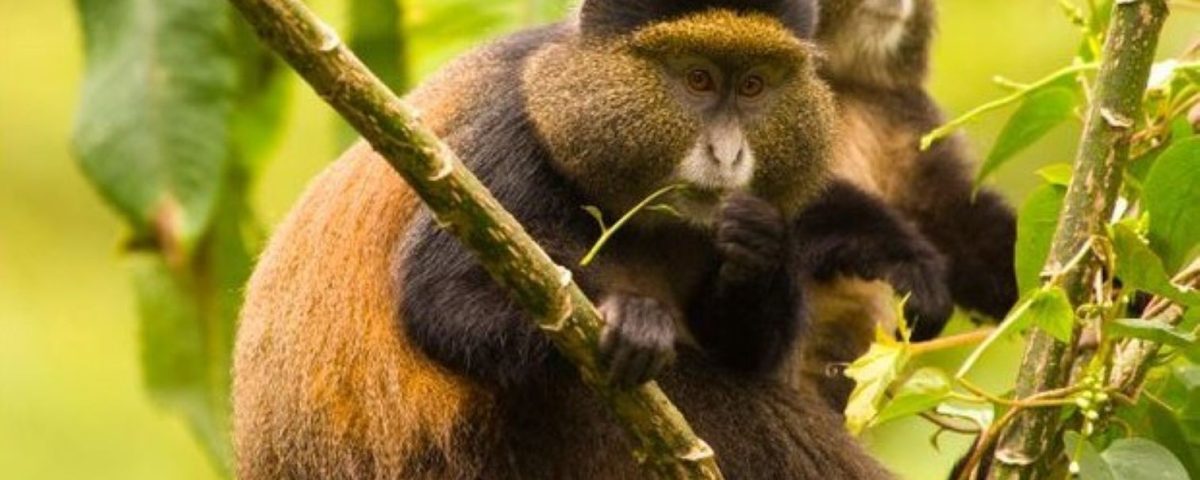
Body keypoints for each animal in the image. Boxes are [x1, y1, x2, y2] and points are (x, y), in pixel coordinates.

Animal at [232, 1, 959, 478]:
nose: (727, 155)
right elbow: (442, 302)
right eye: (697, 79)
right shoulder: (506, 140)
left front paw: (762, 250)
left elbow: (746, 343)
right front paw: (633, 323)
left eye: (754, 86)